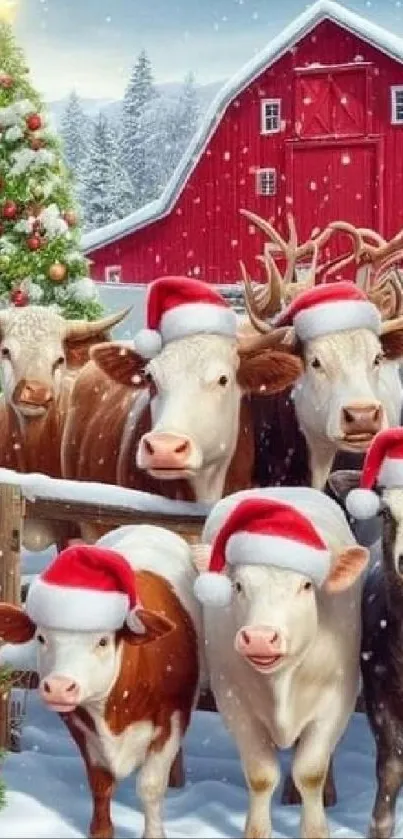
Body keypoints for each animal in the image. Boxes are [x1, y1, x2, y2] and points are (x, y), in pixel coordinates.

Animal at [0, 524, 204, 839]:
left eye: (103, 641)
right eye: (41, 637)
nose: (59, 686)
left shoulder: (172, 717)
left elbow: (150, 786)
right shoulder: (79, 723)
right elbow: (100, 783)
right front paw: (101, 831)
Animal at [193, 486, 370, 839]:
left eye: (306, 585)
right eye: (238, 585)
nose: (260, 637)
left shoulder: (337, 699)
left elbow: (310, 771)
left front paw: (316, 829)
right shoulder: (234, 703)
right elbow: (261, 775)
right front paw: (256, 830)